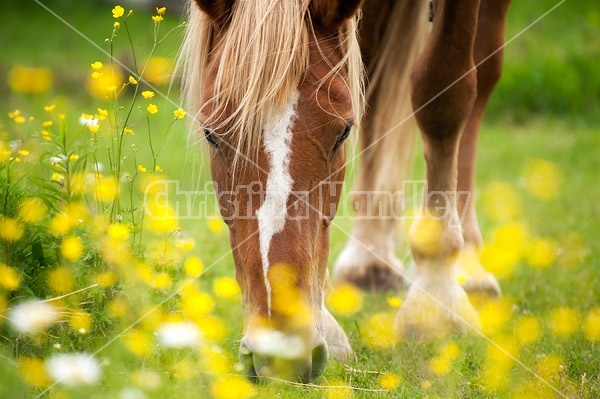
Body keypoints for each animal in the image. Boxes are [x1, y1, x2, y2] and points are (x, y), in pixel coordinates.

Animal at [180, 0, 508, 384]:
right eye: (211, 134)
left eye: (343, 132)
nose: (280, 351)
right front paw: (325, 321)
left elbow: (443, 90)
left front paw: (435, 302)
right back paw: (368, 260)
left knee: (482, 70)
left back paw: (468, 265)